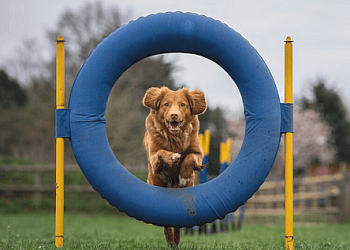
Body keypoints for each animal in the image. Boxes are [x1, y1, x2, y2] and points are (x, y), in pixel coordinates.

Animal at [142, 86, 206, 246]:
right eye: (166, 104)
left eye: (182, 104)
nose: (174, 115)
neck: (174, 137)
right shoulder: (154, 157)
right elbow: (161, 152)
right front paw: (173, 157)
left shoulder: (197, 152)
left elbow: (189, 157)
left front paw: (183, 175)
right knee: (166, 222)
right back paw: (171, 240)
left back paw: (176, 240)